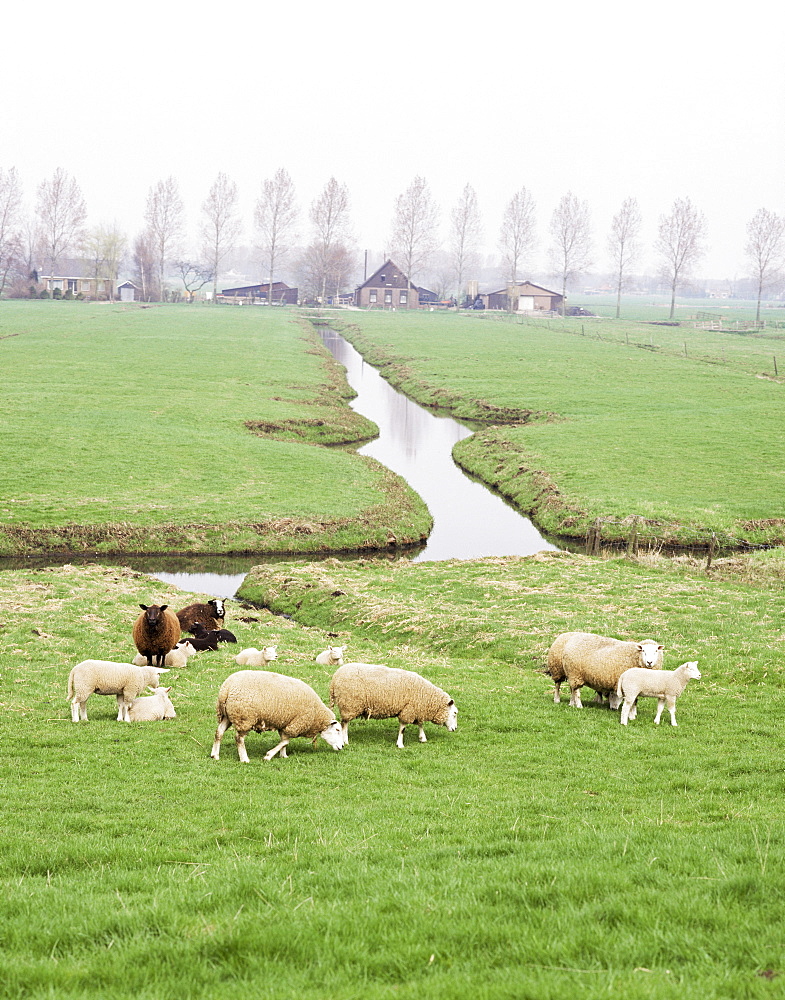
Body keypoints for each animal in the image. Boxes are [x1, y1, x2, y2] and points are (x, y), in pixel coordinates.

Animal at [208, 668, 344, 760]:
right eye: (337, 730)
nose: (342, 746)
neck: (316, 715)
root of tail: (226, 689)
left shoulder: (285, 723)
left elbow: (283, 741)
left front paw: (283, 755)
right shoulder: (296, 724)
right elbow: (286, 741)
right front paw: (268, 756)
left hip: (227, 715)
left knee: (218, 732)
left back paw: (215, 755)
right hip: (244, 717)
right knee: (239, 738)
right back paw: (244, 759)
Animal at [326, 660, 460, 748]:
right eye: (454, 713)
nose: (455, 729)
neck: (426, 696)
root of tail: (334, 678)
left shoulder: (416, 709)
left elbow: (420, 724)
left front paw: (422, 738)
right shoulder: (407, 710)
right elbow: (403, 729)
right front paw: (400, 744)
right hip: (349, 705)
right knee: (344, 724)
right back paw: (345, 740)